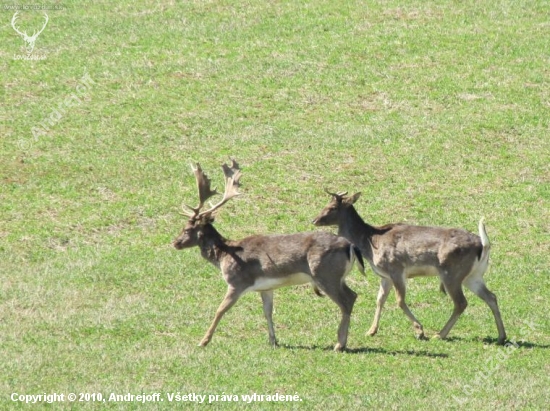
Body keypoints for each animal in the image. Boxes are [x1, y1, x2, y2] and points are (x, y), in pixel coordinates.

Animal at [172, 160, 366, 350]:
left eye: (187, 229)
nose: (175, 242)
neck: (224, 256)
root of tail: (350, 245)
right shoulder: (266, 288)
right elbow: (268, 312)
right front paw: (273, 341)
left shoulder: (237, 282)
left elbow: (220, 310)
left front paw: (203, 341)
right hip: (337, 277)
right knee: (353, 295)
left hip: (325, 273)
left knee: (347, 300)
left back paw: (339, 344)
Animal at [314, 192, 508, 346]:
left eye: (332, 207)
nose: (314, 220)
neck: (370, 243)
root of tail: (483, 246)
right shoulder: (385, 276)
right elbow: (380, 300)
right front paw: (370, 331)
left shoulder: (396, 269)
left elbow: (399, 301)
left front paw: (420, 331)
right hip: (473, 276)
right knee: (491, 296)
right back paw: (501, 336)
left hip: (451, 273)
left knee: (461, 302)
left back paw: (439, 334)